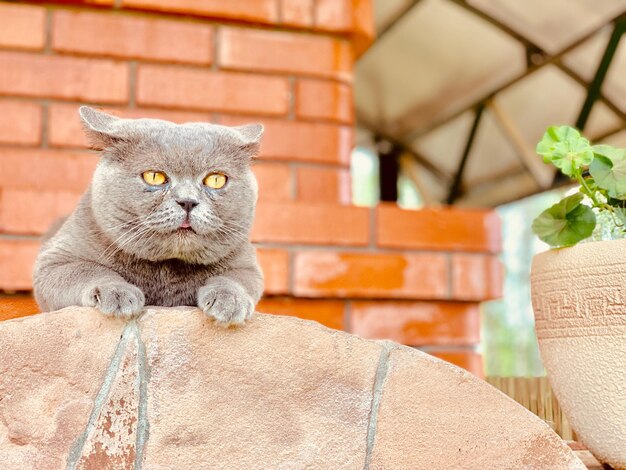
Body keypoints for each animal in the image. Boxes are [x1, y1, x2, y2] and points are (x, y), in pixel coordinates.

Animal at [34, 107, 264, 326]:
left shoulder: (246, 264)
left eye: (215, 180)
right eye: (154, 177)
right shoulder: (54, 261)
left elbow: (234, 278)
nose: (187, 201)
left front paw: (230, 301)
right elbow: (88, 269)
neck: (166, 271)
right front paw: (117, 293)